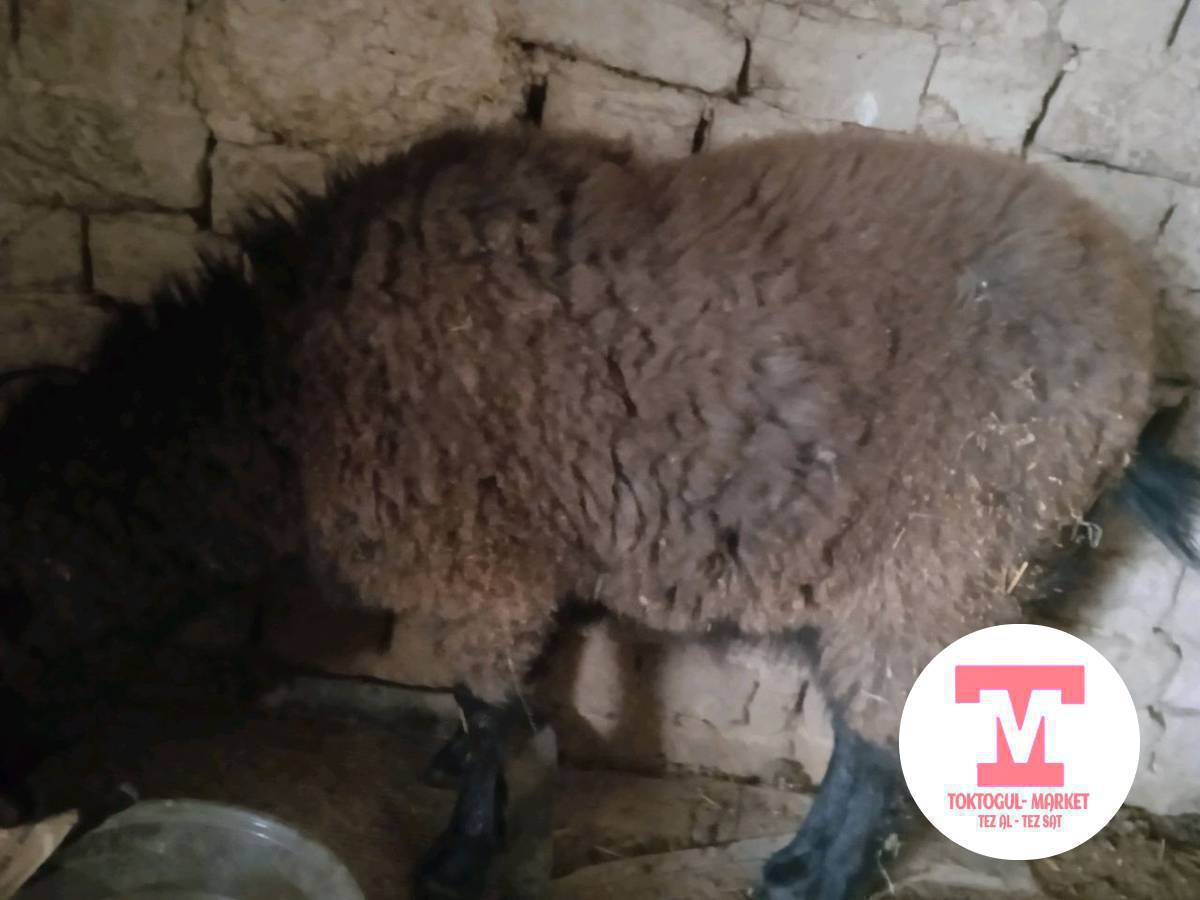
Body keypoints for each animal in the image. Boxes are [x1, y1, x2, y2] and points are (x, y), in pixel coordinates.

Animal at [2, 123, 1198, 900]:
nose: (19, 801)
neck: (279, 396)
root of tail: (1138, 368)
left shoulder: (477, 561)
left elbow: (486, 704)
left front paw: (460, 853)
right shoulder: (529, 552)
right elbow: (515, 687)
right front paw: (460, 774)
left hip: (947, 546)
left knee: (876, 737)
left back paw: (812, 874)